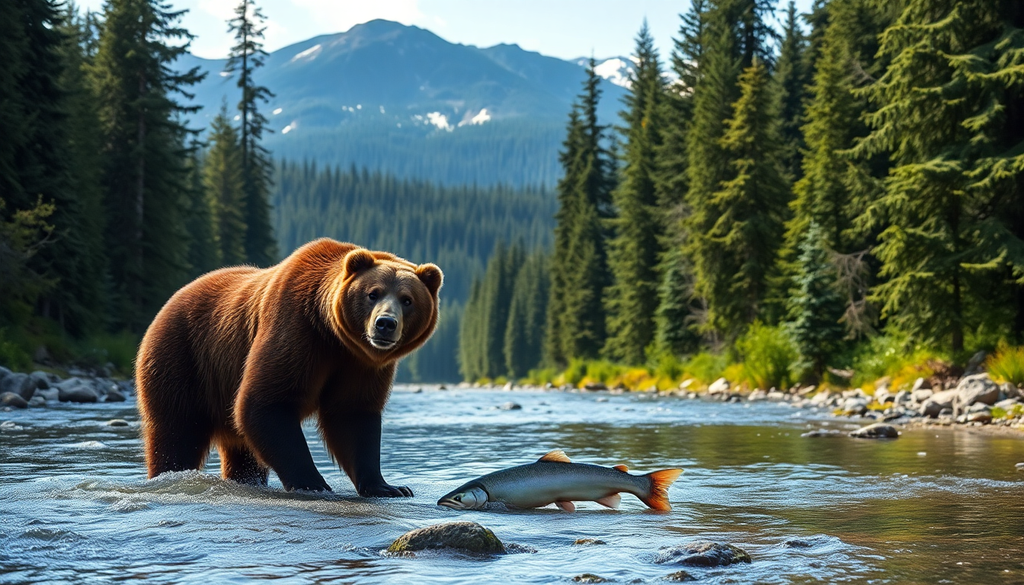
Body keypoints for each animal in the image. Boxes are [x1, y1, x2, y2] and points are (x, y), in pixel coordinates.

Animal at [134, 238, 442, 496]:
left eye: (407, 299)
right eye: (373, 293)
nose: (385, 324)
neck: (334, 336)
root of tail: (172, 300)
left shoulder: (361, 364)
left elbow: (353, 415)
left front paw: (389, 487)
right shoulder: (297, 330)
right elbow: (266, 402)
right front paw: (313, 482)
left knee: (240, 449)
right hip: (183, 358)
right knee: (176, 431)